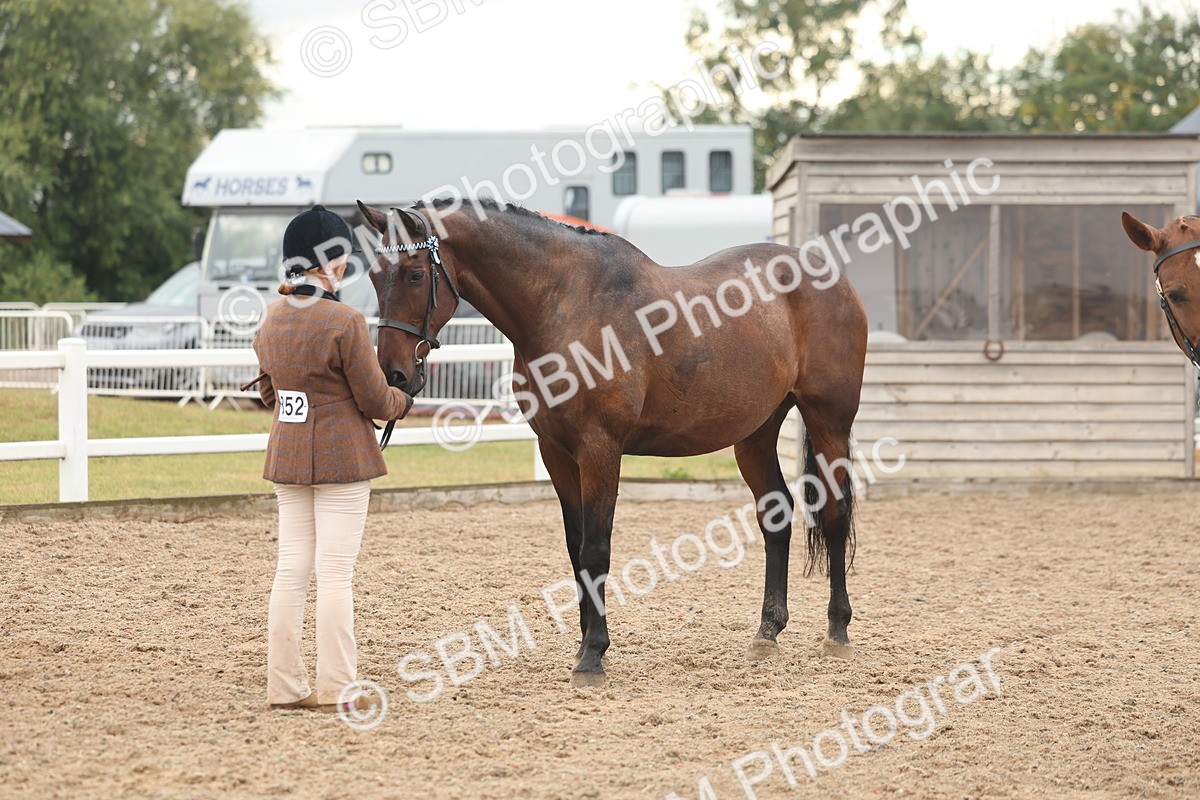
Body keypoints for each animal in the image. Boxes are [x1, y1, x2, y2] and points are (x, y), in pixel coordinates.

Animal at [357, 198, 868, 687]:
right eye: (374, 275)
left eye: (415, 274)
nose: (394, 375)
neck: (567, 303)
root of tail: (832, 278)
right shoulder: (556, 452)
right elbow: (576, 546)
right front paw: (584, 644)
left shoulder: (600, 448)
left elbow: (596, 549)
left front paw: (592, 656)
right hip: (756, 433)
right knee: (776, 516)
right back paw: (767, 632)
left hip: (829, 422)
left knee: (834, 513)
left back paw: (837, 631)